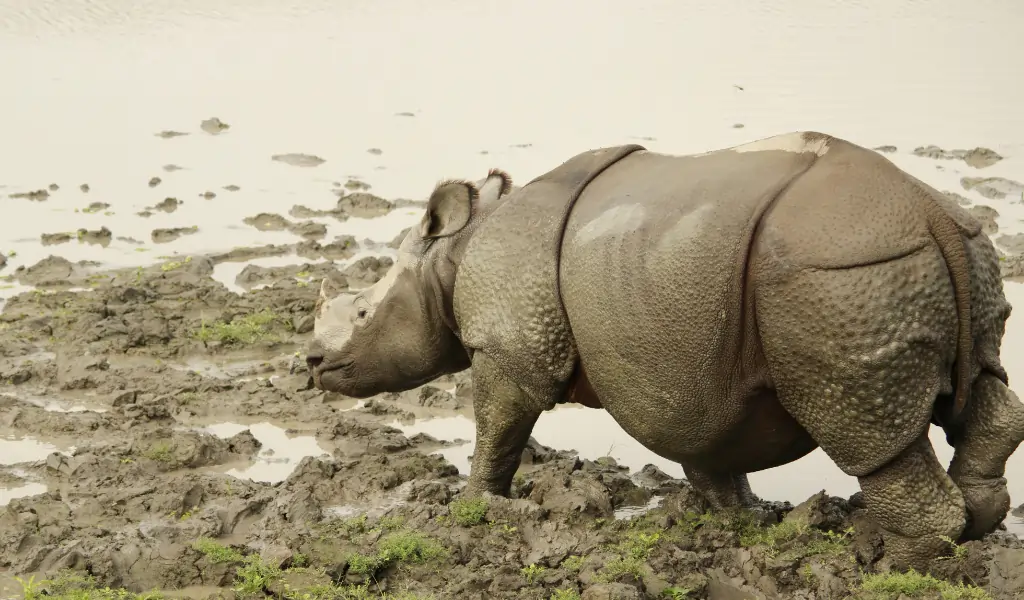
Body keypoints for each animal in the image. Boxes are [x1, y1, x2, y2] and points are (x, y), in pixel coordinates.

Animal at [306, 131, 1024, 570]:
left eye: (363, 312)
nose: (311, 365)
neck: (454, 257)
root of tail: (929, 215)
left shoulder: (510, 347)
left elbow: (498, 426)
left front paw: (474, 507)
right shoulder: (682, 362)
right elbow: (705, 444)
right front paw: (735, 519)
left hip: (840, 278)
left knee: (863, 428)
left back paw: (885, 563)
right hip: (941, 255)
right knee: (982, 393)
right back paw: (972, 530)